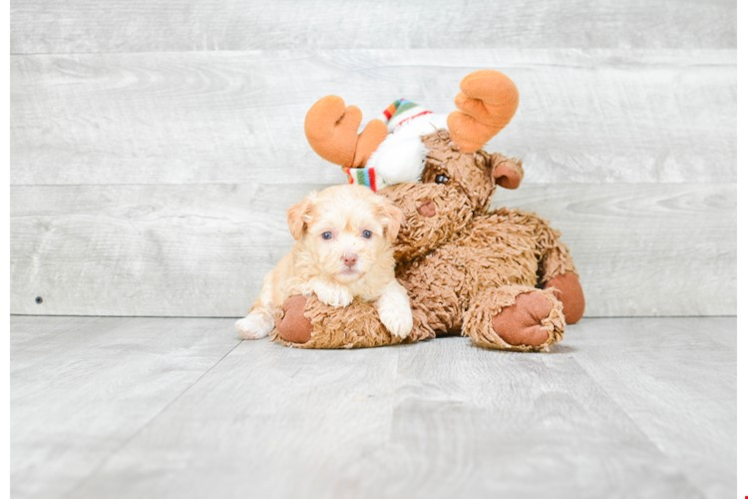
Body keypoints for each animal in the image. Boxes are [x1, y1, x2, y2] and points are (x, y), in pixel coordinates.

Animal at [235, 184, 414, 340]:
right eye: (327, 235)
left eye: (367, 233)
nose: (350, 258)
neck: (349, 282)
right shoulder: (291, 282)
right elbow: (312, 278)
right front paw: (335, 290)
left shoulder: (383, 278)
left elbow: (394, 290)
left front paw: (399, 318)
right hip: (270, 285)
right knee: (263, 309)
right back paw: (250, 326)